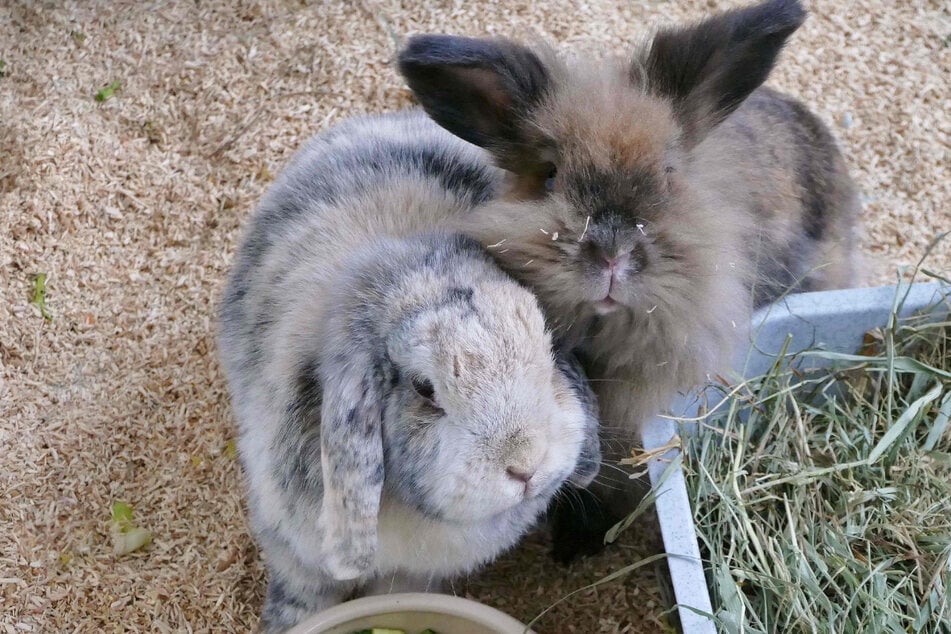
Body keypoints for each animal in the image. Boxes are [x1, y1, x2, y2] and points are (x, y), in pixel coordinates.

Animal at [216, 110, 602, 632]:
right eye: (425, 389)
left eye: (545, 346)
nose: (526, 466)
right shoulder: (293, 549)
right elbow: (301, 596)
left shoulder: (413, 576)